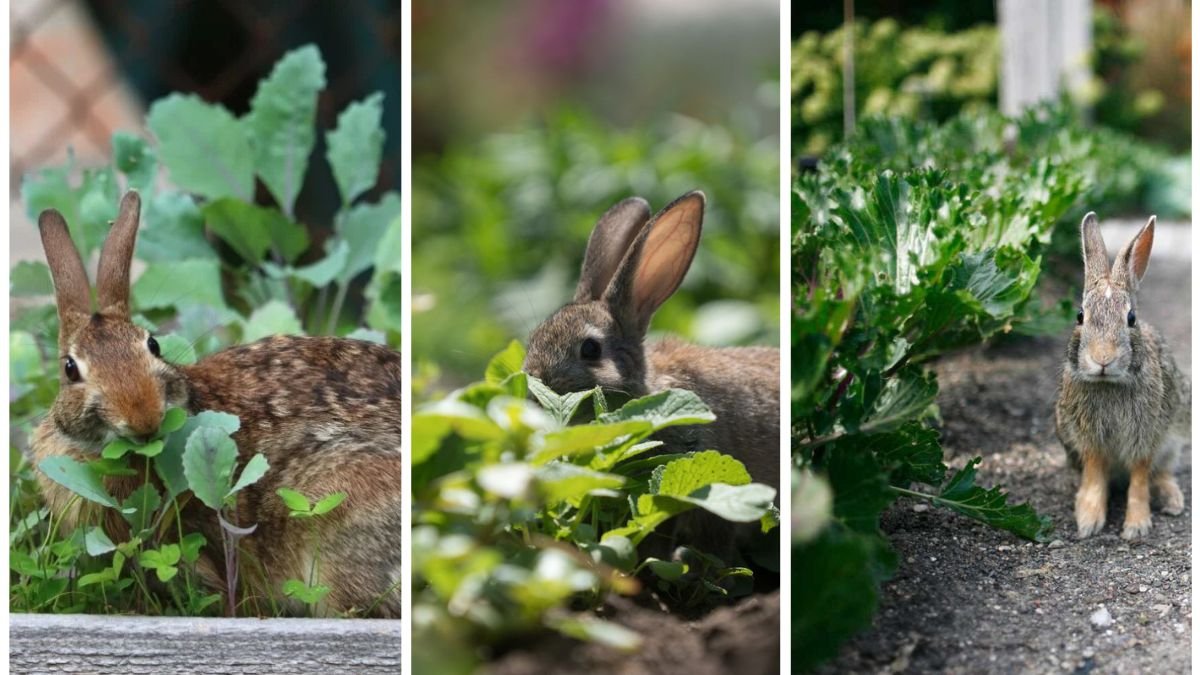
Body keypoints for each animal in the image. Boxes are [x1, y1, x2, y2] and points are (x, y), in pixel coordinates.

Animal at [1055, 212, 1190, 541]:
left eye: (1131, 319)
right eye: (1080, 316)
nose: (1102, 358)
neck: (1109, 383)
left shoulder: (1147, 436)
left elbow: (1140, 476)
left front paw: (1136, 526)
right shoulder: (1088, 440)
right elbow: (1094, 474)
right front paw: (1088, 521)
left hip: (1175, 437)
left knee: (1162, 472)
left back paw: (1172, 500)